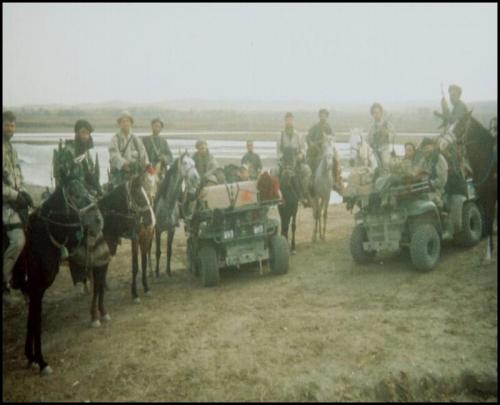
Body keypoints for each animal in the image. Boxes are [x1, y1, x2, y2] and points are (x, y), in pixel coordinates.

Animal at [8, 178, 103, 374]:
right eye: (75, 195)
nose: (99, 221)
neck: (40, 240)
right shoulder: (35, 291)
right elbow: (36, 323)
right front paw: (42, 362)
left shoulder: (35, 292)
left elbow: (31, 322)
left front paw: (30, 357)